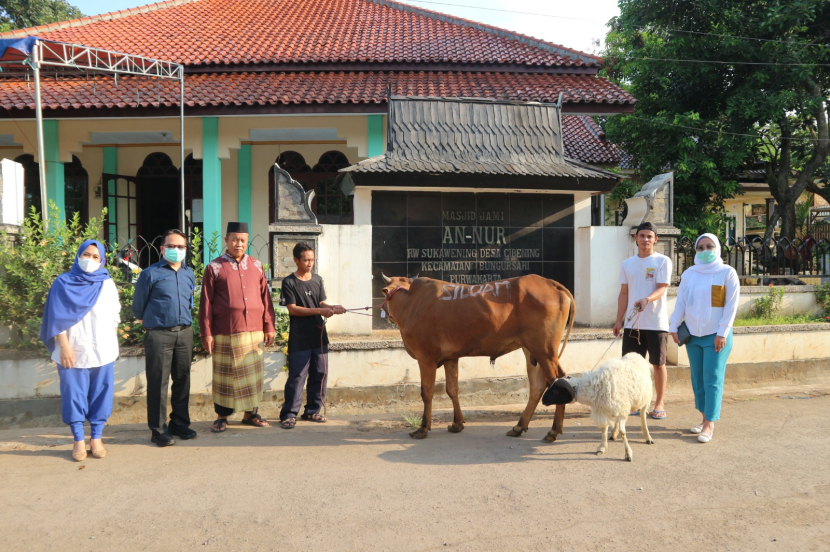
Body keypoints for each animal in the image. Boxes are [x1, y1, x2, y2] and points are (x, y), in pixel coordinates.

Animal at [380, 274, 576, 440]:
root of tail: (550, 283)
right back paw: (519, 426)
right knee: (538, 385)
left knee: (557, 380)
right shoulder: (451, 358)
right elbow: (452, 390)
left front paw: (423, 428)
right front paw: (457, 423)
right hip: (531, 350)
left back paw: (553, 431)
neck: (410, 302)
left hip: (544, 349)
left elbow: (427, 392)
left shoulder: (425, 357)